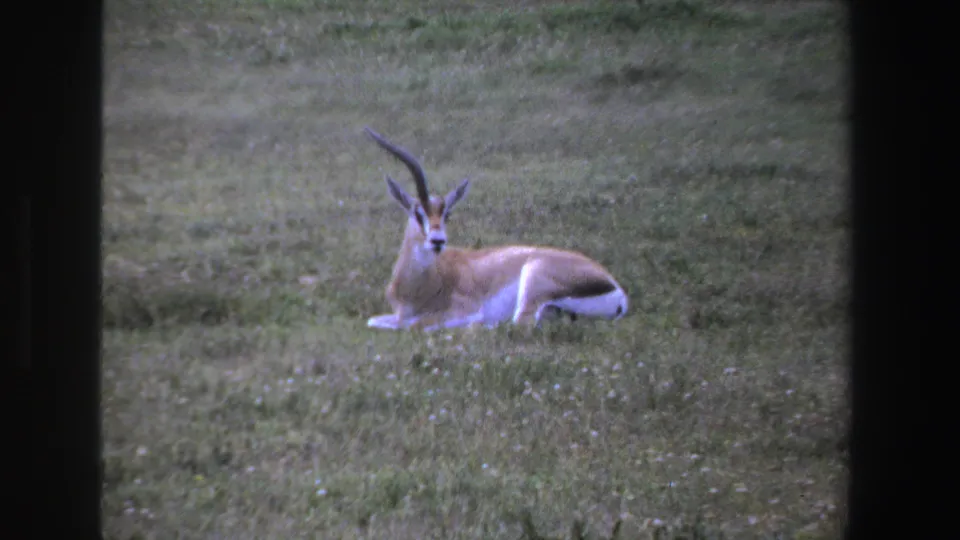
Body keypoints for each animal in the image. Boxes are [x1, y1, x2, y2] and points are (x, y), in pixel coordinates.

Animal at [363, 127, 629, 332]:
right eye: (417, 213)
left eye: (447, 214)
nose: (438, 240)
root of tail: (616, 289)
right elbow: (374, 321)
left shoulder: (464, 310)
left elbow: (414, 325)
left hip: (532, 280)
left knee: (519, 324)